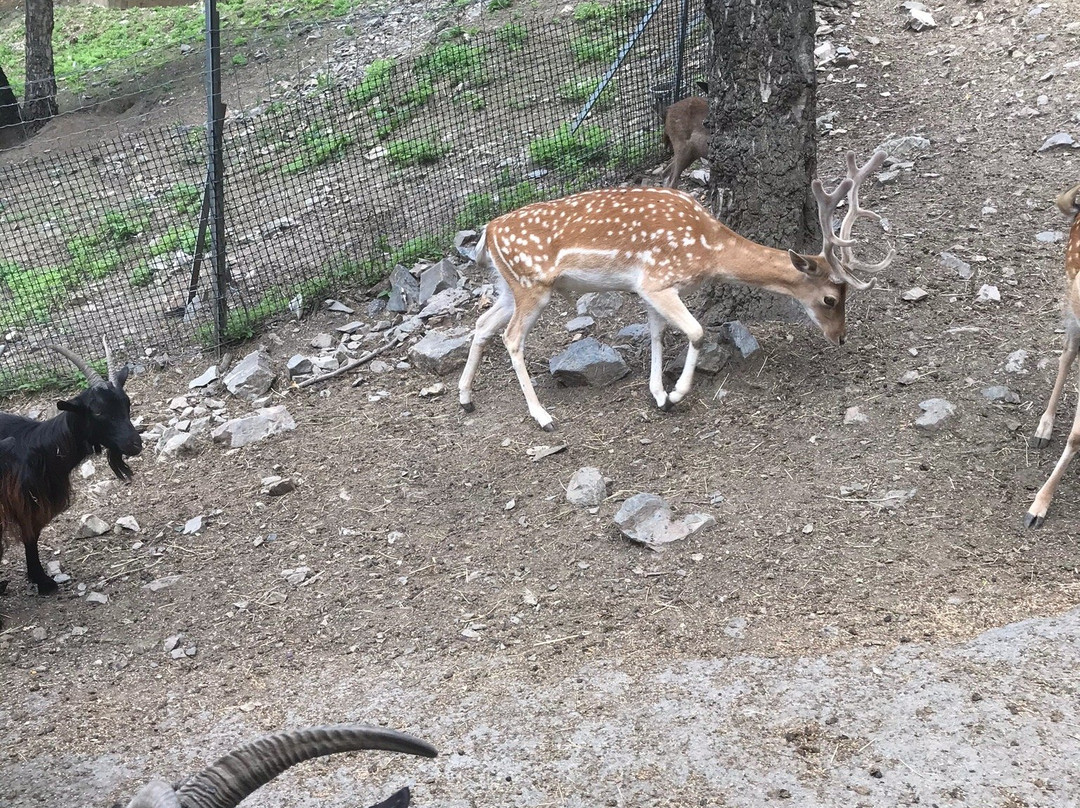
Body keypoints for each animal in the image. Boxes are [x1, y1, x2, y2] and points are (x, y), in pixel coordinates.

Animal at [1, 341, 142, 591]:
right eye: (97, 411)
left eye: (127, 403)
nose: (135, 443)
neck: (36, 448)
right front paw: (43, 581)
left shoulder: (34, 504)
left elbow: (32, 537)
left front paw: (41, 581)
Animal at [455, 149, 894, 432]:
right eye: (830, 299)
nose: (840, 337)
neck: (710, 249)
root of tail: (488, 233)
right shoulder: (659, 279)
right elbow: (696, 331)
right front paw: (677, 394)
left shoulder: (648, 286)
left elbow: (657, 333)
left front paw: (658, 393)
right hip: (532, 284)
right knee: (511, 337)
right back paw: (542, 417)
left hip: (509, 284)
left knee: (482, 323)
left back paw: (465, 397)